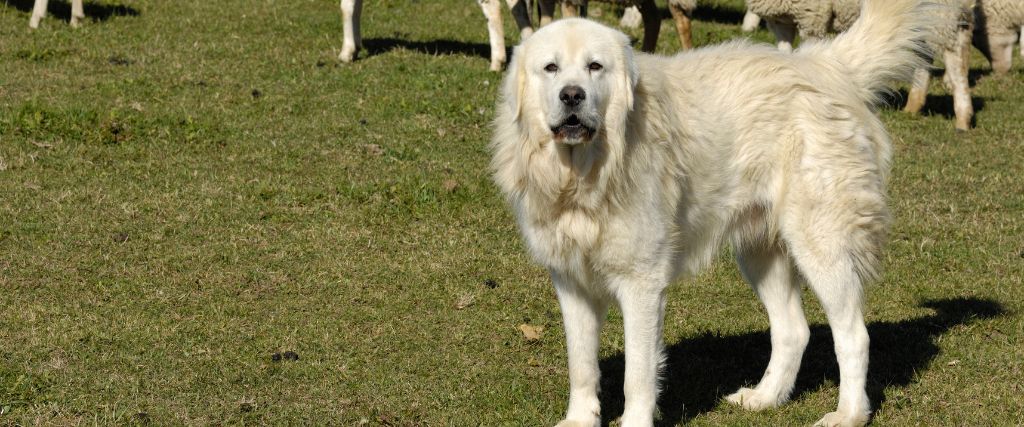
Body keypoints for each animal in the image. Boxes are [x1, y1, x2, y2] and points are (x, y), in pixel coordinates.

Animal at [489, 1, 942, 423]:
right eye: (551, 68)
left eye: (594, 67)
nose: (572, 95)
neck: (585, 174)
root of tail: (824, 63)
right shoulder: (571, 282)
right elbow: (582, 364)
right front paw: (580, 419)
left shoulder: (641, 283)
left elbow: (638, 373)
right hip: (762, 253)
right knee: (793, 331)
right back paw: (765, 398)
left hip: (822, 246)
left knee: (853, 335)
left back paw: (848, 414)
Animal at [745, 0, 974, 130]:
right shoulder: (781, 20)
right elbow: (784, 53)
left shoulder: (812, 17)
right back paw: (913, 106)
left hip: (943, 16)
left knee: (955, 60)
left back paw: (962, 118)